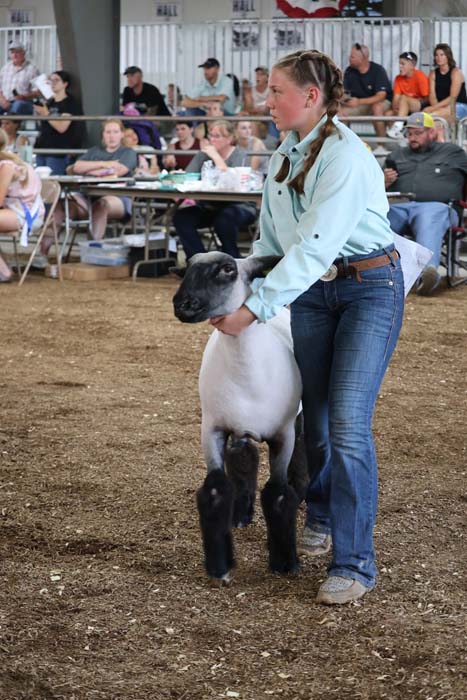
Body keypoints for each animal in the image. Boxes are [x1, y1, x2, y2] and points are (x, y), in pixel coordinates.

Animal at [173, 251, 308, 584]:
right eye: (188, 268)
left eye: (227, 269)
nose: (183, 304)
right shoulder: (212, 428)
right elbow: (215, 489)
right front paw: (219, 565)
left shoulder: (283, 434)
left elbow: (278, 493)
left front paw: (285, 562)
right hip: (238, 428)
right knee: (243, 457)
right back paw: (240, 514)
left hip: (297, 421)